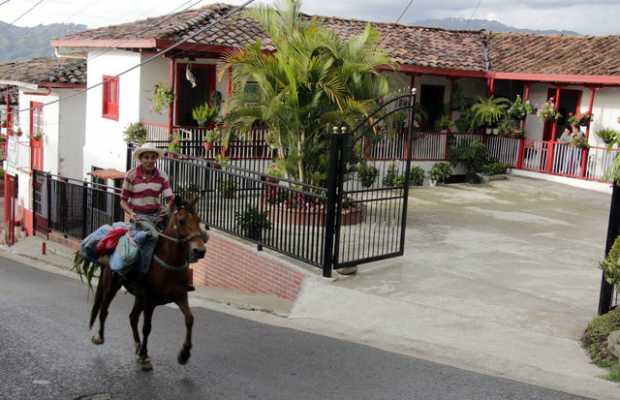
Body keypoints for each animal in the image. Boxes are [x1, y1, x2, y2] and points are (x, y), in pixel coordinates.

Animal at [88, 197, 207, 372]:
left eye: (198, 220)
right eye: (182, 221)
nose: (200, 251)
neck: (169, 263)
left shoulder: (180, 296)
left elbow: (190, 319)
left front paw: (184, 354)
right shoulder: (150, 300)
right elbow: (147, 327)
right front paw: (145, 357)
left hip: (139, 296)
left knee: (132, 317)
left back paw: (138, 347)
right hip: (112, 284)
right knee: (104, 310)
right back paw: (100, 337)